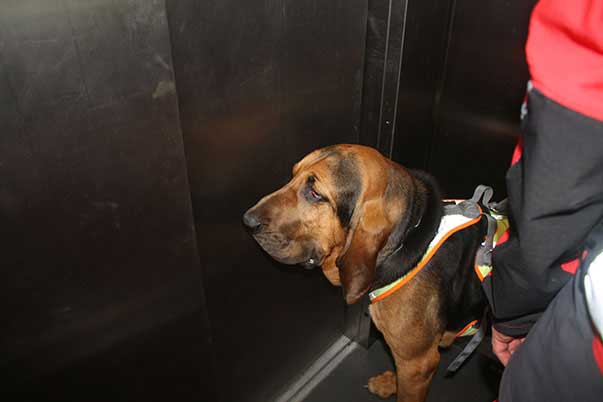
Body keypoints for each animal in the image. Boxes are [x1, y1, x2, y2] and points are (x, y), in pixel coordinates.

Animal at [243, 144, 487, 402]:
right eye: (293, 174)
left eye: (316, 194)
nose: (247, 221)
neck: (411, 233)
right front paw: (392, 382)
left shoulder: (418, 362)